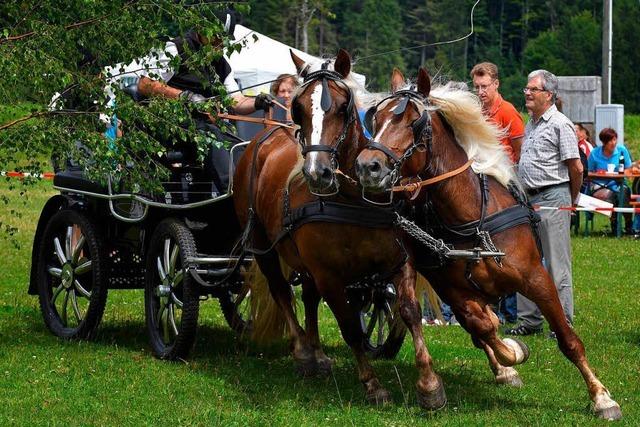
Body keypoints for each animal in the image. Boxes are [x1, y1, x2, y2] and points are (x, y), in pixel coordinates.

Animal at [232, 51, 448, 410]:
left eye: (343, 106)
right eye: (298, 108)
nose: (316, 172)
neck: (353, 201)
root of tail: (264, 136)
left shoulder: (399, 262)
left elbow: (408, 311)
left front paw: (429, 385)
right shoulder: (329, 275)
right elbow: (349, 327)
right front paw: (373, 384)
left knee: (306, 296)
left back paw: (318, 354)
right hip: (264, 246)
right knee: (282, 292)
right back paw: (303, 353)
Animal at [352, 67, 624, 422]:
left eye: (415, 122)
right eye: (377, 118)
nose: (367, 166)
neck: (472, 220)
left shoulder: (537, 279)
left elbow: (568, 339)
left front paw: (601, 397)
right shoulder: (454, 289)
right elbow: (482, 328)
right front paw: (511, 354)